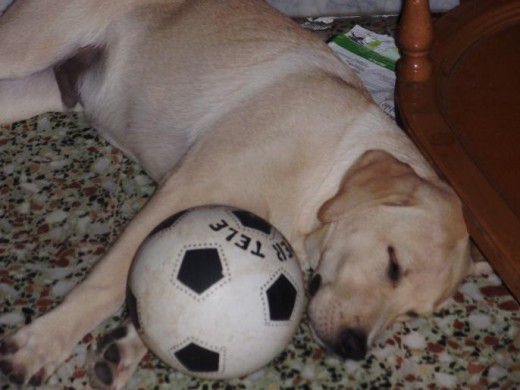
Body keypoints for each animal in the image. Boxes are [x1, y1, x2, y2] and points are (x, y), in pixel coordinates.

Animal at [0, 0, 488, 386]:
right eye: (393, 264)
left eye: (413, 315)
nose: (353, 349)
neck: (326, 167)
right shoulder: (184, 191)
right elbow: (107, 281)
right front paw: (42, 343)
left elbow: (156, 295)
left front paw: (127, 346)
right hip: (23, 49)